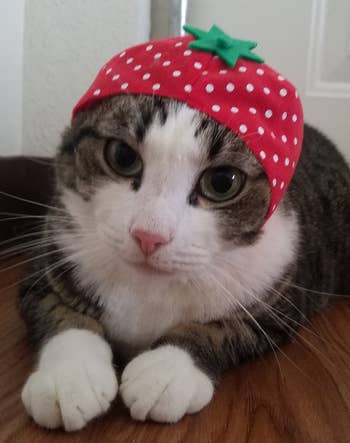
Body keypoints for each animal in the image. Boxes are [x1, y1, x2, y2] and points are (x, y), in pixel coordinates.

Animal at [17, 95, 350, 432]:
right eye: (122, 156)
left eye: (222, 182)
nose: (149, 236)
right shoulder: (52, 255)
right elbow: (57, 309)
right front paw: (69, 376)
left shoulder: (279, 298)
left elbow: (224, 329)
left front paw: (167, 371)